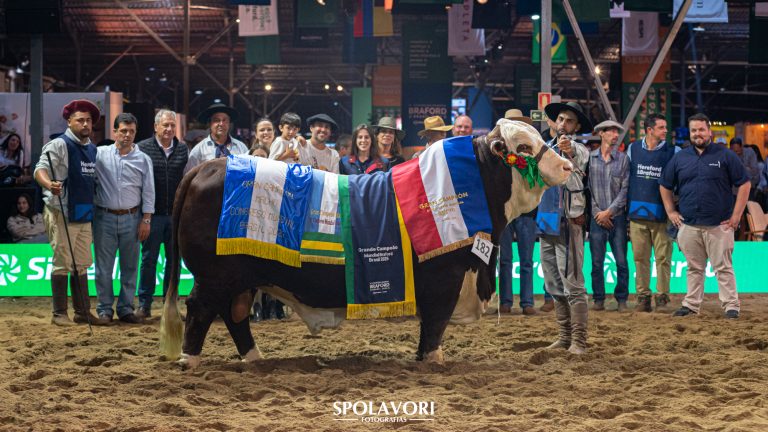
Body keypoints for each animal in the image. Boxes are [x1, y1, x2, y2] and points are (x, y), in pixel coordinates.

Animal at [159, 119, 573, 369]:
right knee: (201, 308)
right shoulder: (445, 277)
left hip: (241, 277)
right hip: (215, 276)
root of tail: (209, 166)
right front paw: (433, 360)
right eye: (524, 145)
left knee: (235, 315)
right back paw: (189, 360)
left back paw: (255, 357)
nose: (568, 166)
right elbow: (435, 323)